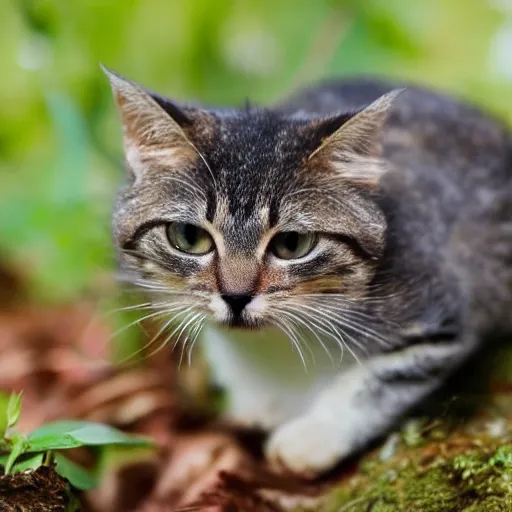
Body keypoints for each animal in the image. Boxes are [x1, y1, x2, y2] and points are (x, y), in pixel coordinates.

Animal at [103, 66, 512, 478]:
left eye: (292, 244)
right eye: (189, 237)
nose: (236, 296)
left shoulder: (439, 316)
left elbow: (377, 381)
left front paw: (314, 436)